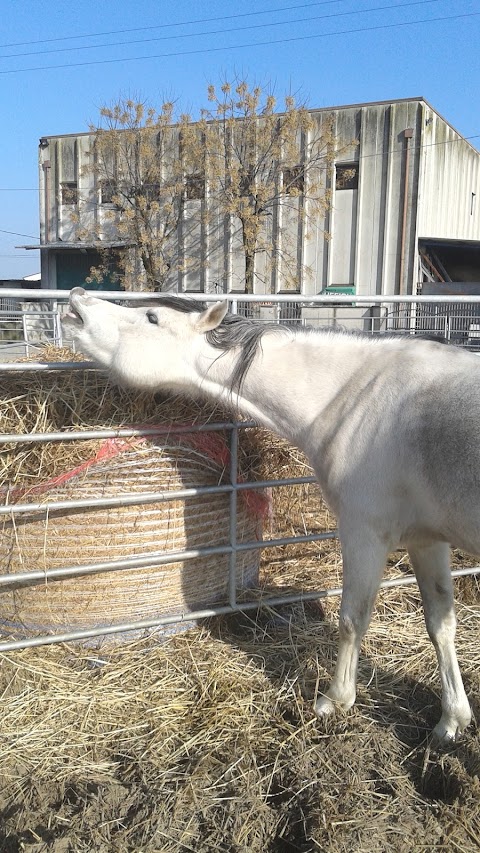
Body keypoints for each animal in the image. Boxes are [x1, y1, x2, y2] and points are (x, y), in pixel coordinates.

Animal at [64, 290, 480, 744]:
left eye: (152, 317)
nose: (78, 300)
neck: (357, 398)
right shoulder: (428, 540)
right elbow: (440, 623)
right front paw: (452, 719)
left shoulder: (363, 533)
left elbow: (352, 619)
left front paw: (334, 701)